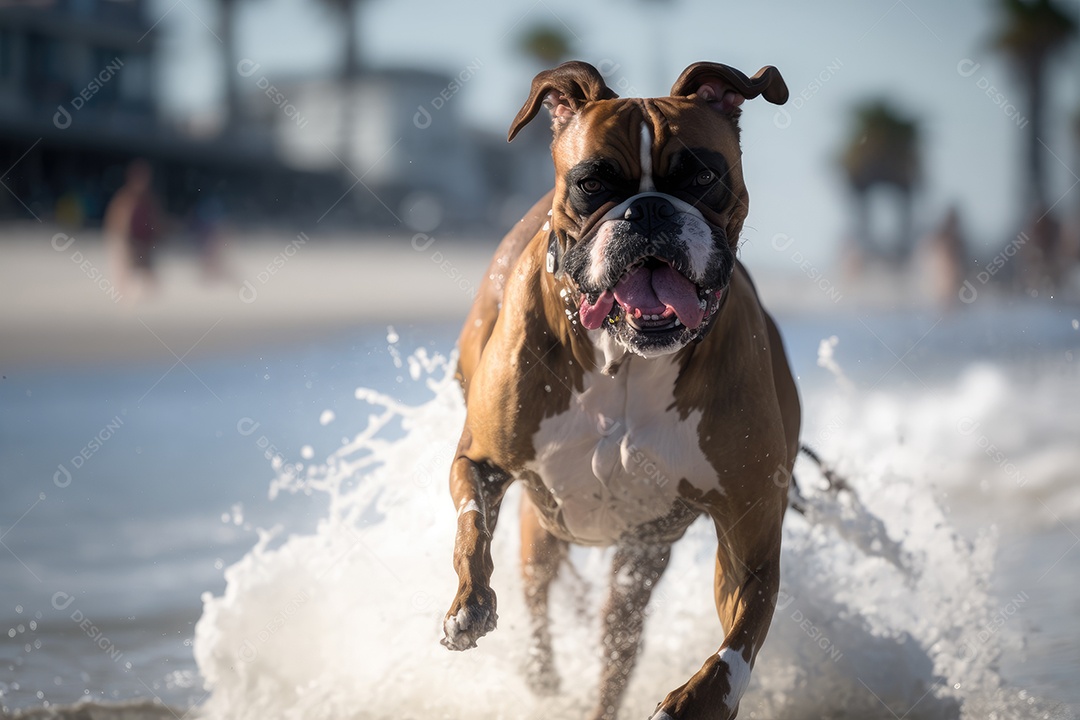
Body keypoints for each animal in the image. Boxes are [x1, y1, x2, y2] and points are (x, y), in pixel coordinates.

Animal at [440, 59, 803, 716]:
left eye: (702, 176)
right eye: (592, 183)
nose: (649, 211)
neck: (625, 360)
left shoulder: (752, 534)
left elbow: (739, 638)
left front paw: (698, 701)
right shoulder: (479, 460)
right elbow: (472, 526)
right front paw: (469, 605)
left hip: (638, 568)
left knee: (617, 645)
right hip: (544, 537)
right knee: (539, 597)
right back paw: (540, 675)